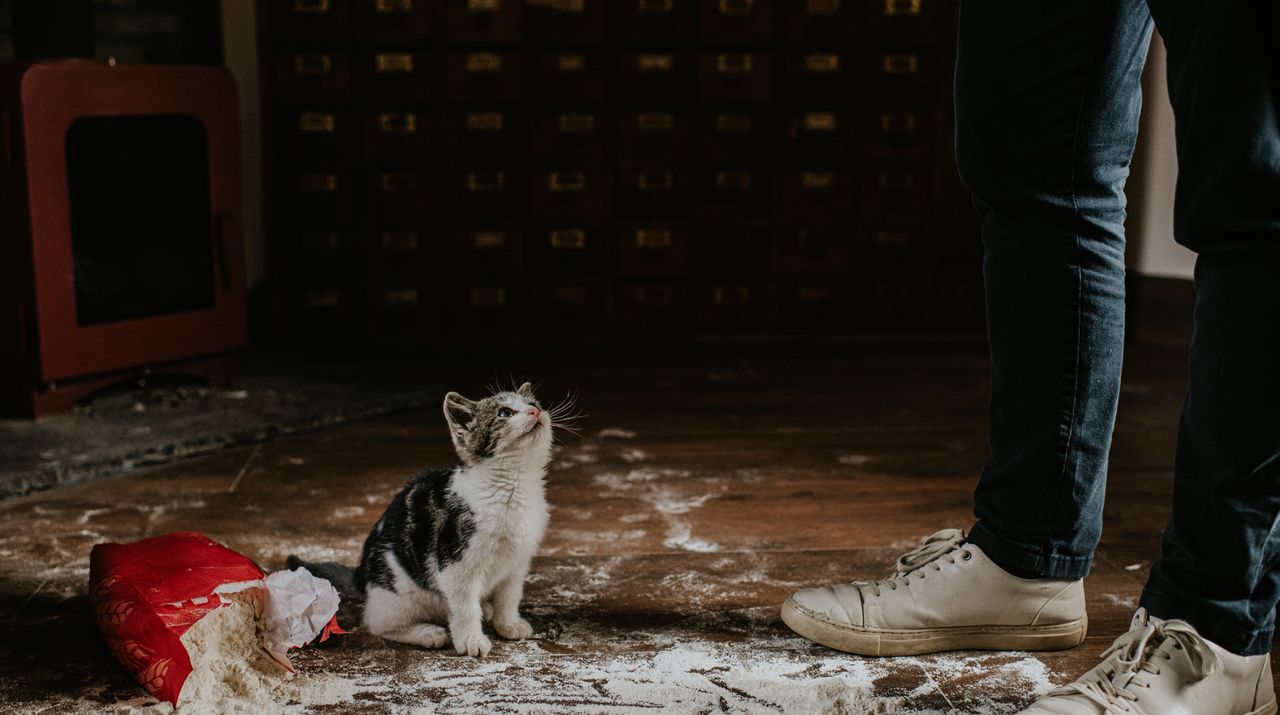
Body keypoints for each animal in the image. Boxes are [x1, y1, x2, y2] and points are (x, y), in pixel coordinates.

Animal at [290, 383, 555, 660]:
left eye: (533, 403)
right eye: (505, 413)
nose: (535, 411)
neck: (515, 485)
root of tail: (361, 575)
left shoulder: (517, 561)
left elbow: (510, 596)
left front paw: (508, 623)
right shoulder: (456, 565)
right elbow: (464, 606)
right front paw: (471, 640)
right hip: (399, 591)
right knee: (378, 623)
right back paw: (427, 633)